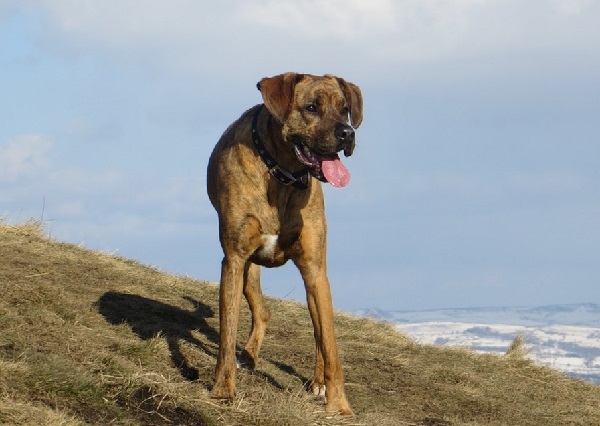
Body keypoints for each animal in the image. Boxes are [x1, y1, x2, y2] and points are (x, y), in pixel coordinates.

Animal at [206, 71, 364, 414]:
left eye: (345, 109)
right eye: (311, 107)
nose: (348, 133)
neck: (281, 175)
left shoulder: (315, 269)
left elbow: (330, 345)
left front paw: (339, 405)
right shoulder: (234, 259)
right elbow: (227, 334)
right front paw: (223, 389)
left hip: (314, 279)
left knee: (319, 330)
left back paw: (318, 382)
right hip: (248, 270)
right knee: (262, 311)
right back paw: (248, 356)